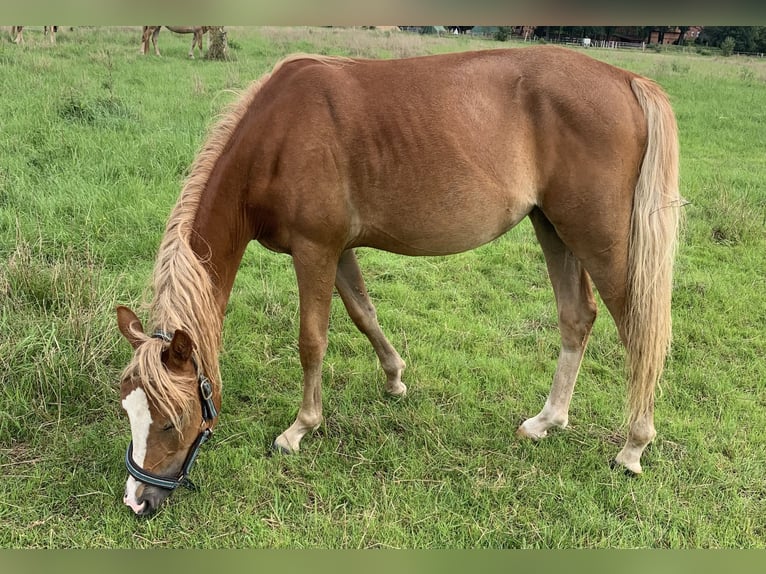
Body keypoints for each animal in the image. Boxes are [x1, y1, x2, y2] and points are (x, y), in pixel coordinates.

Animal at [117, 47, 680, 520]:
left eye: (172, 420)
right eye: (129, 410)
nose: (137, 500)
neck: (276, 136)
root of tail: (627, 80)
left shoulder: (315, 250)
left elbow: (312, 339)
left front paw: (300, 428)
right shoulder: (339, 249)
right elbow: (363, 313)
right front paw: (394, 378)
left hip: (596, 237)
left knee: (637, 330)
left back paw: (633, 446)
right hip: (553, 227)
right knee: (577, 317)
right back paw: (547, 421)